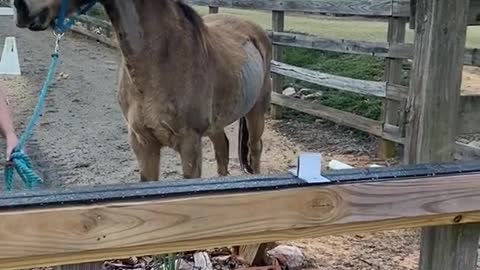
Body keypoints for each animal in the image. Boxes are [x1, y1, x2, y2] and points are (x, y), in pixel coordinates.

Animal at [11, 1, 272, 181]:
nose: (21, 7)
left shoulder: (190, 144)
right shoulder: (142, 143)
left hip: (256, 112)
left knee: (255, 149)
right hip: (215, 125)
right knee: (222, 149)